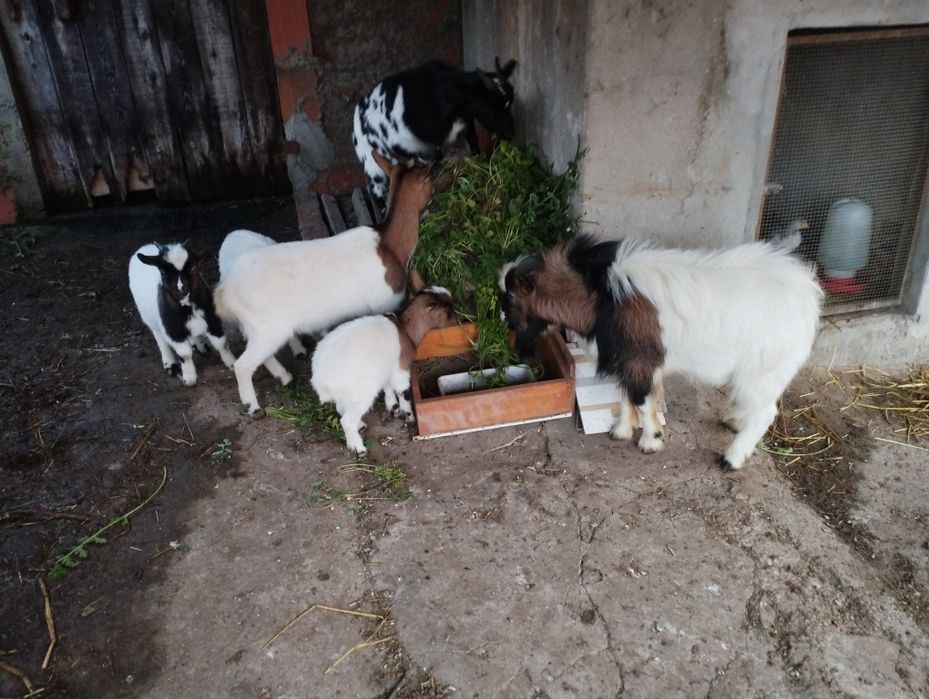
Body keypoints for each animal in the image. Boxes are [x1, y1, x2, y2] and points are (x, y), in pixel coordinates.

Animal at [129, 242, 236, 386]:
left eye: (194, 268)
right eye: (163, 272)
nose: (181, 292)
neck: (187, 308)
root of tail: (145, 246)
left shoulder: (212, 320)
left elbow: (221, 343)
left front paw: (232, 363)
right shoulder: (173, 330)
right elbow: (185, 354)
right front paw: (189, 378)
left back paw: (201, 346)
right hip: (151, 320)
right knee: (159, 337)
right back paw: (170, 363)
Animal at [311, 286, 457, 455]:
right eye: (447, 310)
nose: (457, 320)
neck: (406, 331)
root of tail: (319, 378)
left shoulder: (387, 368)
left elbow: (388, 387)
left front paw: (393, 407)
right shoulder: (400, 368)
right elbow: (403, 391)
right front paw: (408, 415)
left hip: (347, 394)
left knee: (341, 408)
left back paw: (360, 425)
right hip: (361, 393)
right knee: (346, 420)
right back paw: (358, 448)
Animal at [353, 57, 516, 213]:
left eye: (510, 103)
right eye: (487, 107)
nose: (510, 133)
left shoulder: (467, 121)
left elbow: (474, 146)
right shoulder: (424, 148)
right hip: (372, 164)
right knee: (375, 188)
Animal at [501, 234, 823, 470]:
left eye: (512, 295)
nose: (506, 324)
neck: (602, 298)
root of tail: (806, 293)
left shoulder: (638, 362)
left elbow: (642, 401)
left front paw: (650, 441)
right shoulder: (627, 362)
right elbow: (625, 396)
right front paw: (621, 431)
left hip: (763, 370)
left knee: (765, 413)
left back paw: (731, 459)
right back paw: (734, 422)